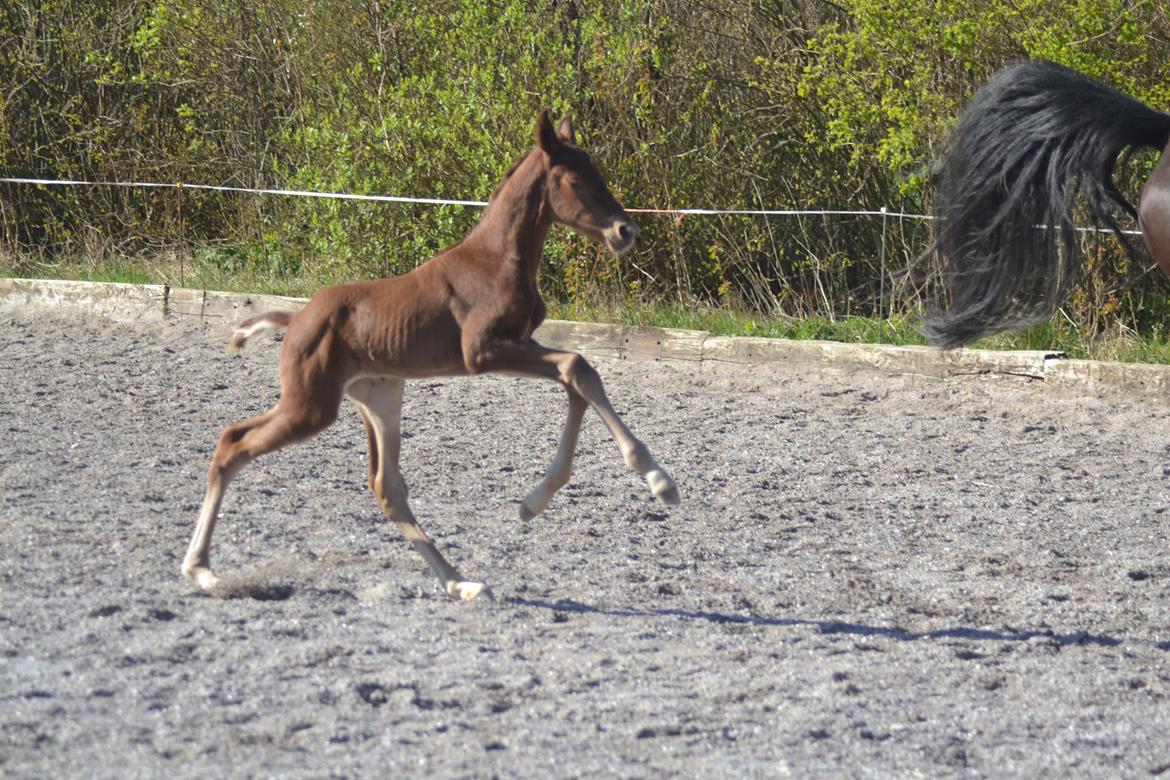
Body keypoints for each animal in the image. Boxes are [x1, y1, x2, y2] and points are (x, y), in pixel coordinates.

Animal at [177, 109, 683, 603]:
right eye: (576, 180)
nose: (626, 230)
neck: (496, 260)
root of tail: (297, 317)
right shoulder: (482, 352)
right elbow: (576, 366)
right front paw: (660, 481)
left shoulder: (523, 342)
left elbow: (577, 376)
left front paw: (532, 503)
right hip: (312, 405)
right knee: (233, 443)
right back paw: (201, 570)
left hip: (378, 396)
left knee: (385, 487)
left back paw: (462, 583)